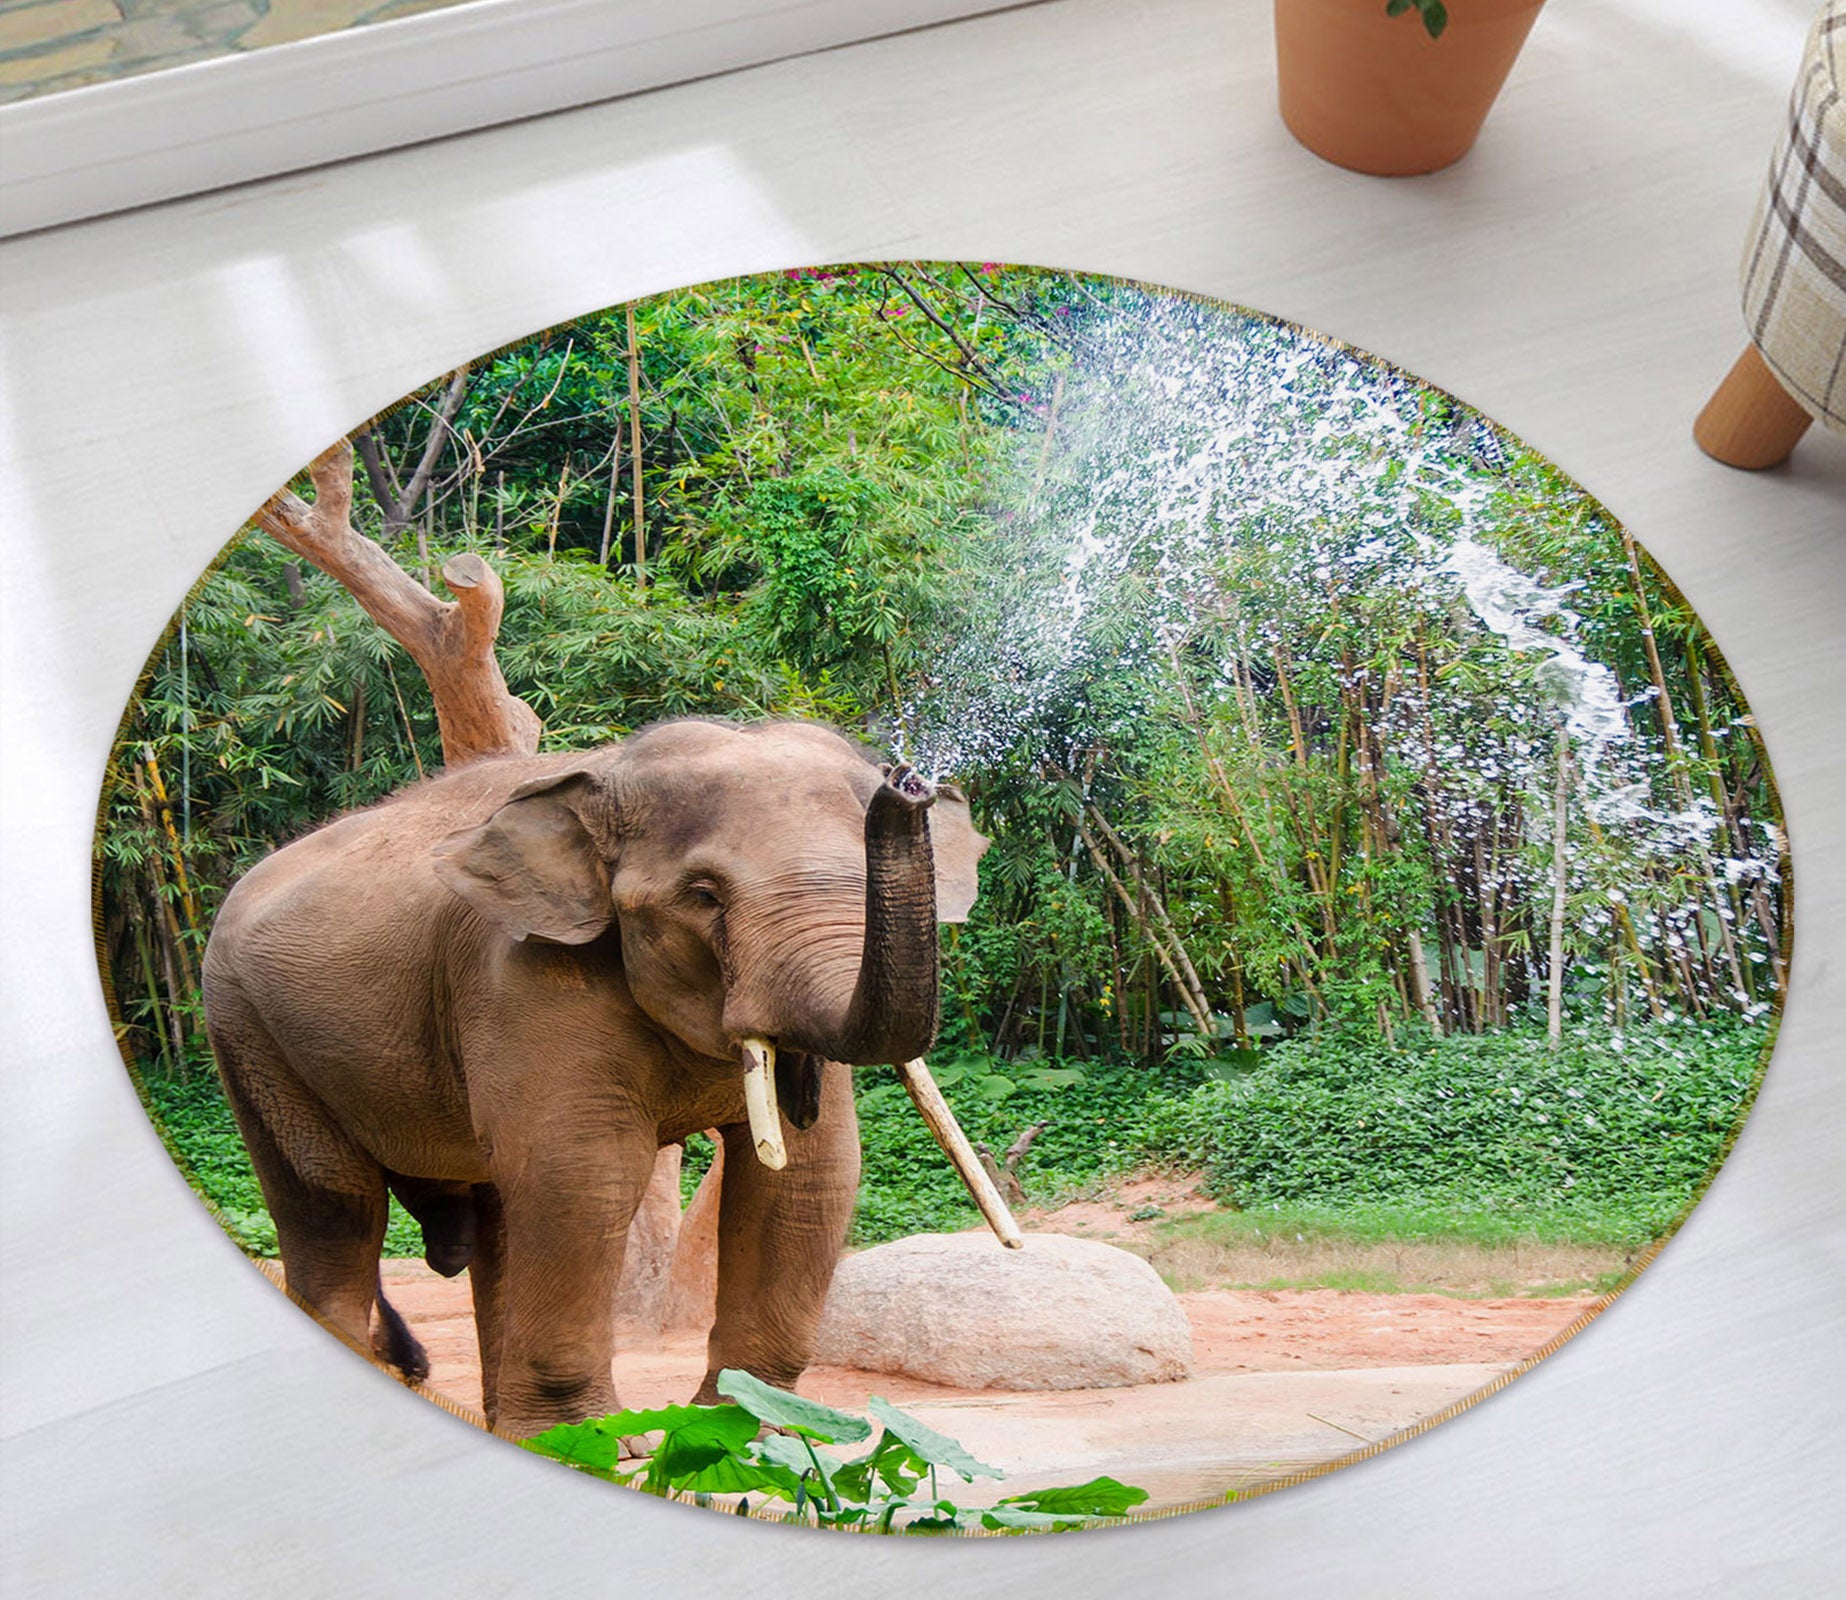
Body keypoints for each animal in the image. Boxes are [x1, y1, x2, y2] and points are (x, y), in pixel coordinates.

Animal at [201, 717, 989, 1439]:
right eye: (704, 894)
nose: (907, 782)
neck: (604, 776)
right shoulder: (519, 974)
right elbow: (582, 1173)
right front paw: (599, 1441)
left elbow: (806, 1178)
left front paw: (752, 1433)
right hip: (246, 1030)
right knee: (332, 1207)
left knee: (493, 1218)